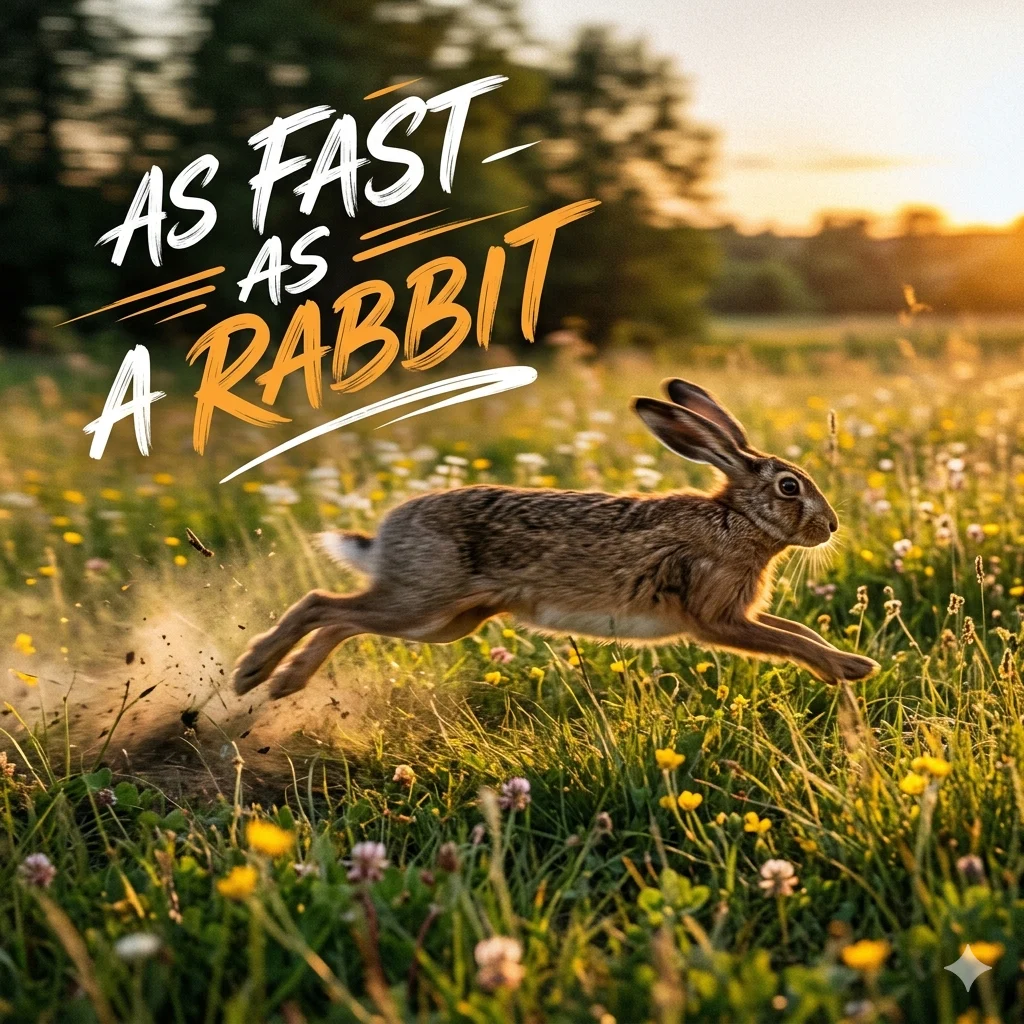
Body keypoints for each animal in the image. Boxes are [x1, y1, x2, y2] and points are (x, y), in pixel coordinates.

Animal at [232, 377, 879, 699]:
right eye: (790, 487)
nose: (831, 526)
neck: (737, 520)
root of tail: (387, 532)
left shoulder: (735, 614)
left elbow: (794, 631)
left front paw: (847, 667)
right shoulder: (716, 618)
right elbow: (787, 640)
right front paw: (852, 668)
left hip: (445, 622)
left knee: (341, 619)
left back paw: (282, 682)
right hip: (422, 601)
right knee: (324, 606)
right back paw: (256, 674)